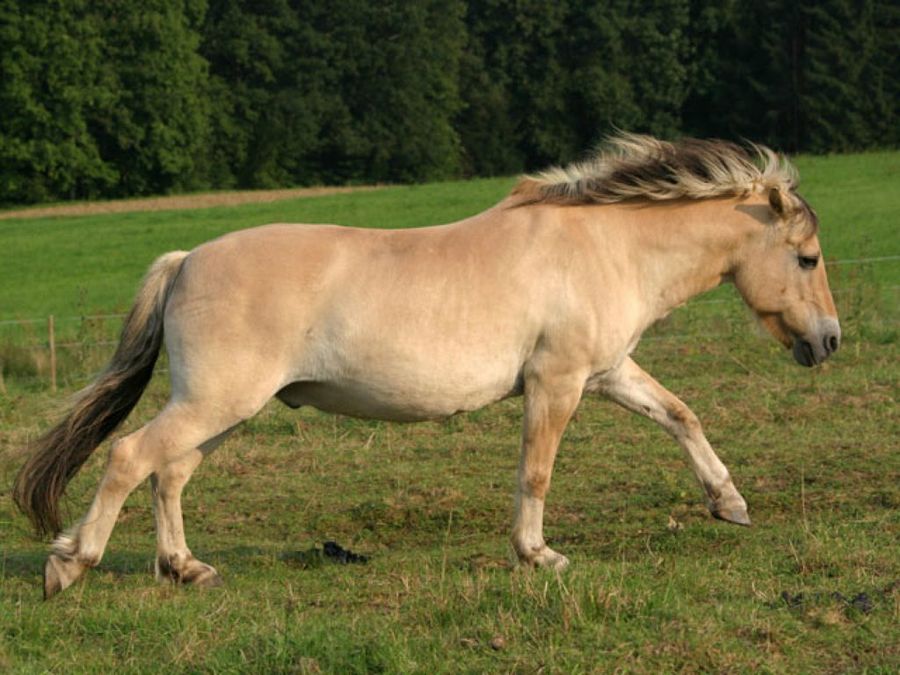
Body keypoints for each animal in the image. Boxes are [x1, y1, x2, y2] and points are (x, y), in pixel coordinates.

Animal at [14, 133, 840, 599]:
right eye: (806, 258)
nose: (829, 341)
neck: (605, 244)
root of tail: (186, 259)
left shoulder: (606, 371)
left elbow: (680, 414)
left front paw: (729, 502)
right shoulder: (557, 381)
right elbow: (536, 472)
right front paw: (538, 554)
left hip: (223, 408)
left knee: (171, 472)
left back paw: (186, 569)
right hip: (216, 401)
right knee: (131, 457)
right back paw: (69, 564)